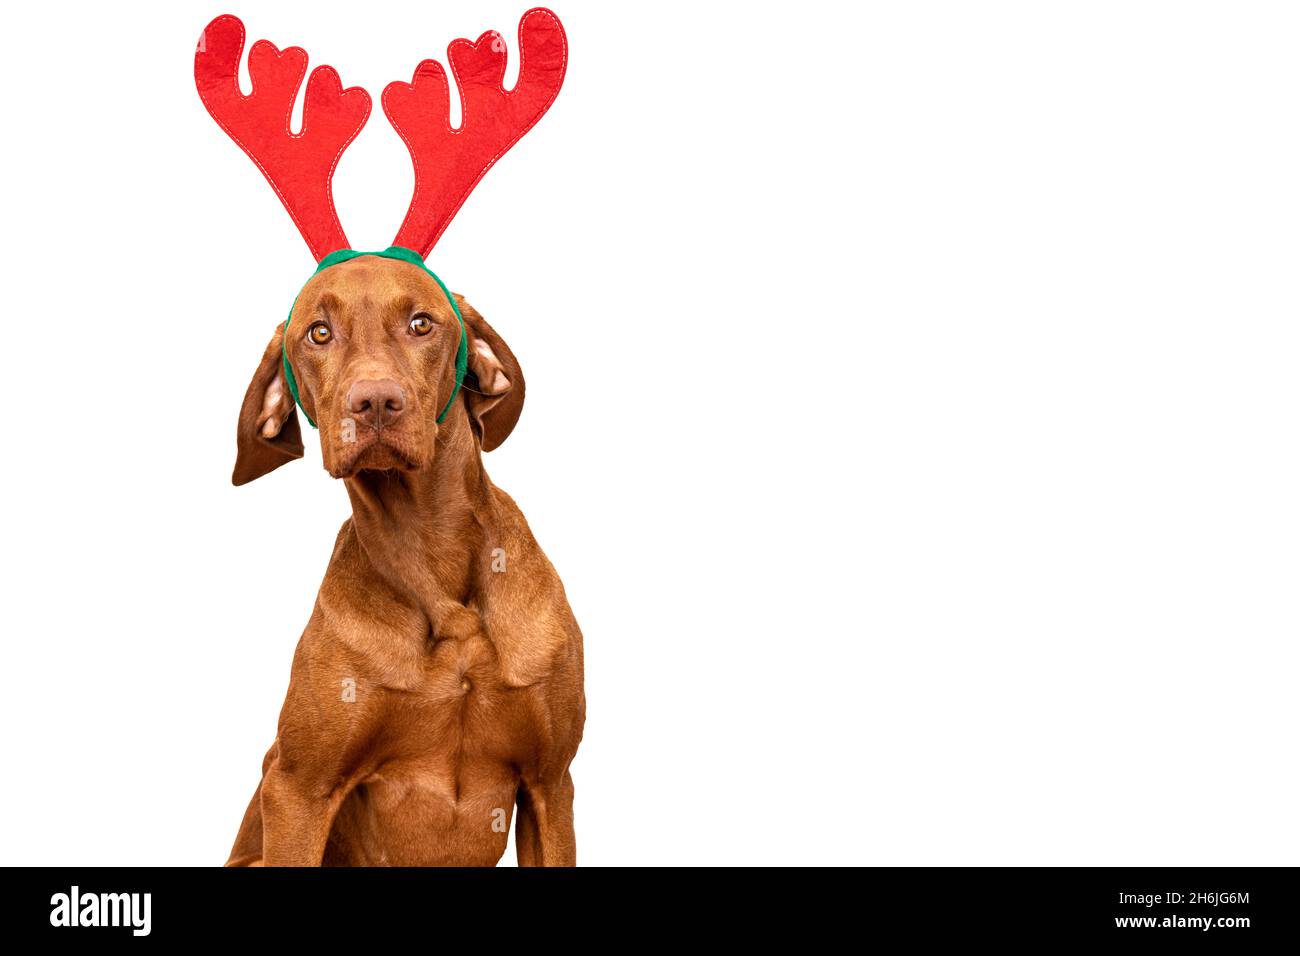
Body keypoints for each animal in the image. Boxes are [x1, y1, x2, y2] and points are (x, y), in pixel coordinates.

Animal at [227, 256, 585, 868]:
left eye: (421, 324)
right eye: (318, 333)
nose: (375, 402)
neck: (428, 551)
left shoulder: (550, 783)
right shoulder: (298, 788)